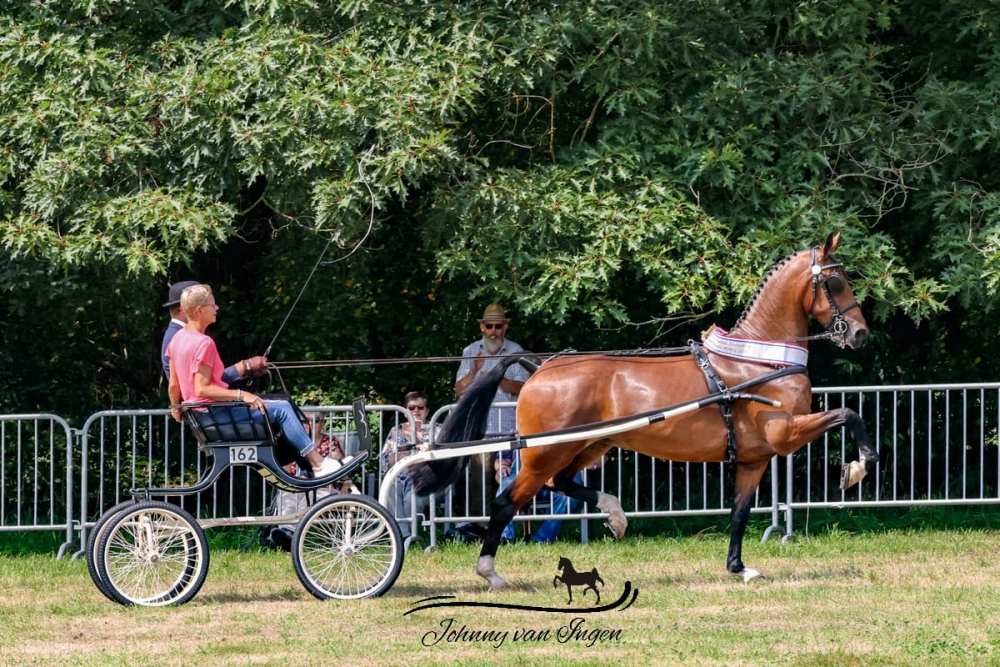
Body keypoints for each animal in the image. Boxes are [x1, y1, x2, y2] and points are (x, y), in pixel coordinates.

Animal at [411, 232, 877, 590]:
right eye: (837, 282)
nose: (859, 334)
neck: (760, 361)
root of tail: (540, 367)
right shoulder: (786, 433)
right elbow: (848, 414)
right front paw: (857, 468)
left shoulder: (754, 458)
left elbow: (740, 513)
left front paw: (739, 569)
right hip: (546, 452)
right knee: (506, 501)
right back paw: (491, 573)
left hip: (588, 445)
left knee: (563, 483)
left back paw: (615, 514)